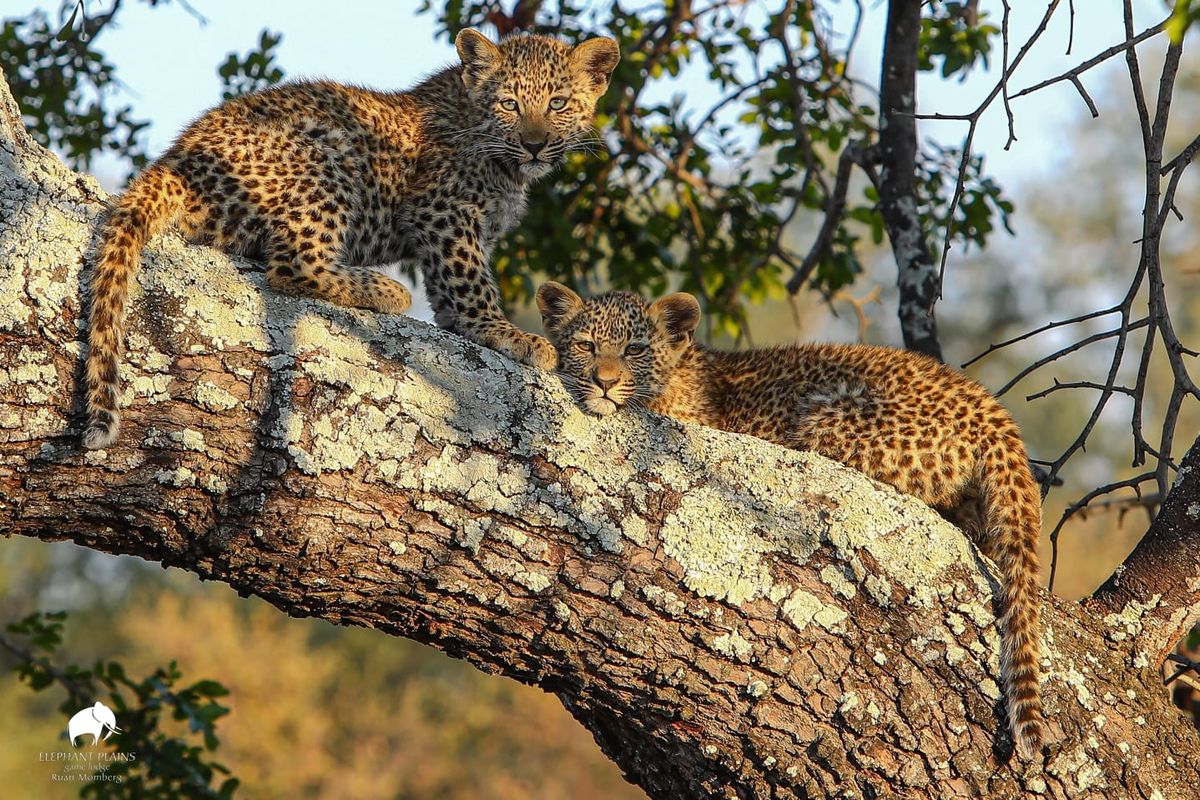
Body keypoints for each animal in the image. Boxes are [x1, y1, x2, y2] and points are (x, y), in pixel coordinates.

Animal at [82, 29, 619, 449]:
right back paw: (386, 290)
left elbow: (451, 299)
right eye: (509, 104)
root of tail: (176, 160)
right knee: (293, 266)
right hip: (325, 157)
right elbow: (471, 285)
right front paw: (509, 334)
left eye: (557, 104)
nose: (534, 144)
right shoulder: (445, 212)